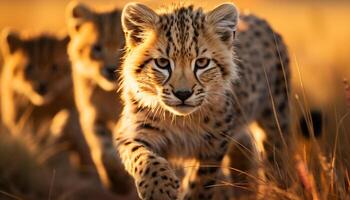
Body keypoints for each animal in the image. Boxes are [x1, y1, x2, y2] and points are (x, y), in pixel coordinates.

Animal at [116, 1, 292, 200]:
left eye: (201, 63)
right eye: (162, 63)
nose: (183, 94)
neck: (181, 120)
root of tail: (258, 18)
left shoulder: (214, 145)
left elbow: (200, 183)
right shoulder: (133, 131)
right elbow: (141, 156)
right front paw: (158, 187)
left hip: (276, 118)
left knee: (277, 157)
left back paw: (277, 189)